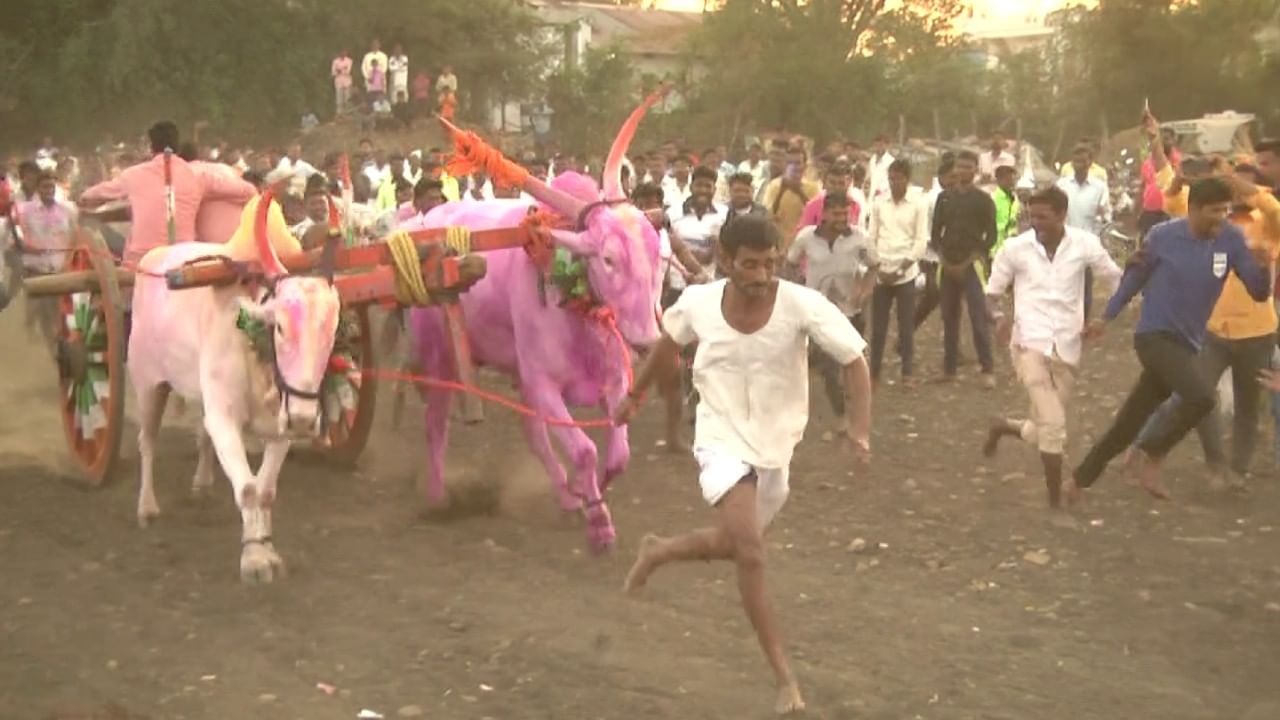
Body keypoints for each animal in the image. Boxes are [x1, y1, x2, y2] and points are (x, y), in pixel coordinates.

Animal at [409, 92, 665, 545]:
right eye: (608, 259)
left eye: (656, 253)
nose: (647, 341)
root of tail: (421, 224)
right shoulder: (544, 383)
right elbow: (584, 450)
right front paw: (599, 525)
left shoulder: (613, 379)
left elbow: (618, 455)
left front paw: (588, 495)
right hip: (440, 358)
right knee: (435, 424)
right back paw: (438, 498)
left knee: (533, 435)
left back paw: (566, 497)